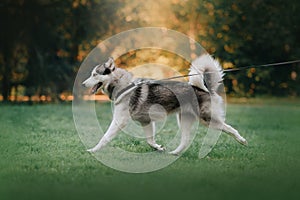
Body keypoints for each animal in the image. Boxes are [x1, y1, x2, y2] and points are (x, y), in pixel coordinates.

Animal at [82, 54, 246, 155]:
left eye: (95, 74)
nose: (83, 84)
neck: (121, 85)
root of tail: (203, 88)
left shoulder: (120, 121)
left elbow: (104, 138)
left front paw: (93, 150)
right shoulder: (146, 121)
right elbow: (150, 141)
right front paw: (158, 148)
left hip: (207, 119)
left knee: (230, 128)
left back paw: (242, 140)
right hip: (183, 121)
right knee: (185, 141)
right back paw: (174, 153)